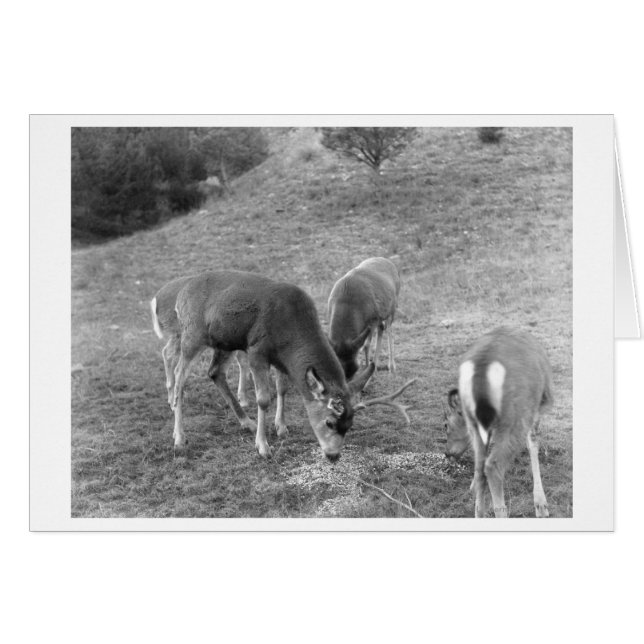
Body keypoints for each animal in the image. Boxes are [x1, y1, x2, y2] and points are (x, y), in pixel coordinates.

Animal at [150, 270, 416, 461]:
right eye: (329, 422)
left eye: (349, 425)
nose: (333, 455)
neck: (290, 330)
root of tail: (181, 294)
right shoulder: (257, 350)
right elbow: (263, 399)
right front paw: (263, 446)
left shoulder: (280, 358)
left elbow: (282, 389)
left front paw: (281, 427)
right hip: (192, 335)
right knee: (180, 377)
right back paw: (179, 437)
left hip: (223, 342)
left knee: (214, 372)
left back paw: (246, 422)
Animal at [442, 327, 554, 518]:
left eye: (446, 425)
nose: (447, 453)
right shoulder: (533, 409)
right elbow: (533, 445)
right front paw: (541, 506)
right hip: (514, 418)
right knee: (493, 466)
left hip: (478, 424)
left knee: (480, 467)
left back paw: (479, 512)